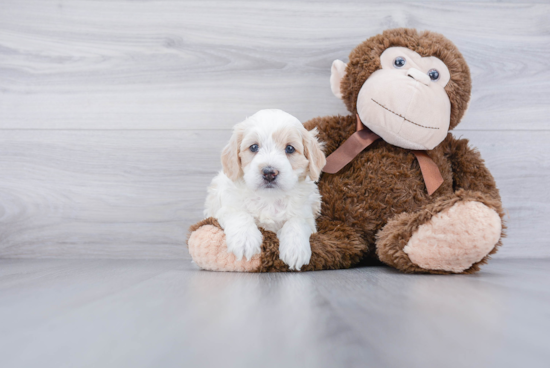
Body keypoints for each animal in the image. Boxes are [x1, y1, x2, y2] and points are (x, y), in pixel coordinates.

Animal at [206, 109, 328, 270]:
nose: (269, 172)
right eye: (253, 147)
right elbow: (240, 215)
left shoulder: (306, 215)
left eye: (290, 148)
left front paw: (295, 249)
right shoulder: (227, 207)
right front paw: (245, 240)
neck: (270, 199)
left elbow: (296, 222)